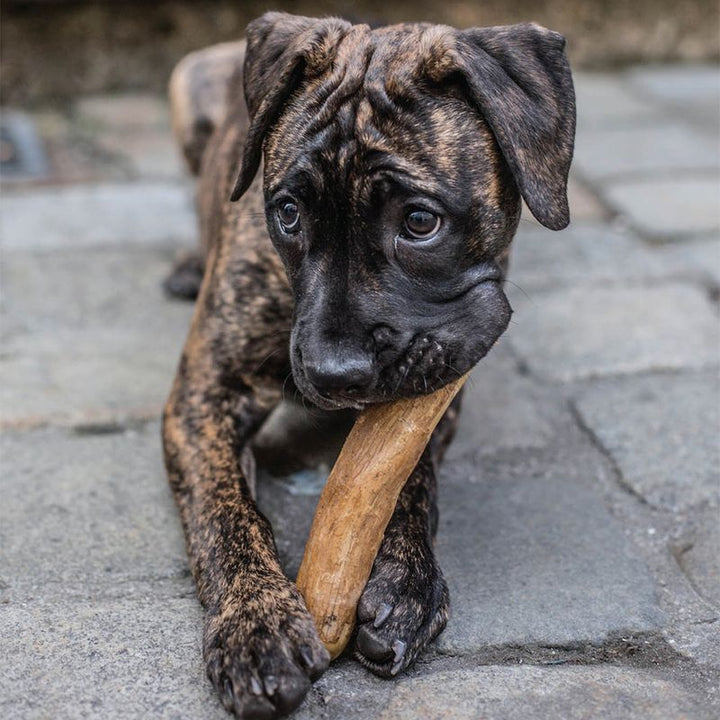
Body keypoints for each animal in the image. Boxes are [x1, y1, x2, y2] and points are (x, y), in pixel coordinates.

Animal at [162, 12, 572, 720]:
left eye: (420, 221)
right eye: (287, 213)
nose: (333, 373)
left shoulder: (442, 381)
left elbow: (406, 476)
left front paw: (406, 580)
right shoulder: (204, 394)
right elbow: (224, 509)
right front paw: (256, 623)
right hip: (187, 84)